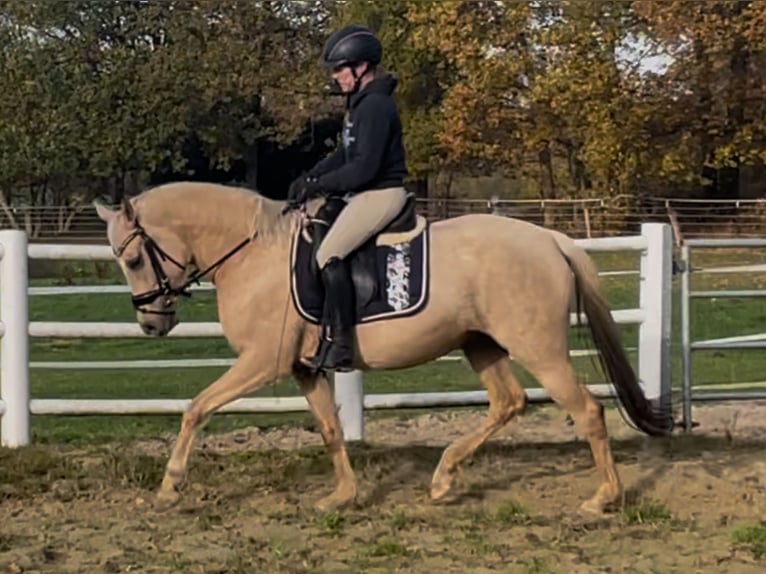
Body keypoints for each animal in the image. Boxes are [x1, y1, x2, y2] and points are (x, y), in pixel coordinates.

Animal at [94, 180, 673, 516]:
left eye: (134, 259)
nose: (152, 323)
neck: (252, 254)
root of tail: (549, 240)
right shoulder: (305, 369)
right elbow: (330, 429)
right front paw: (343, 497)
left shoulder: (263, 363)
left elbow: (195, 409)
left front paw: (170, 486)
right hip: (481, 345)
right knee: (508, 402)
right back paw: (443, 479)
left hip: (539, 348)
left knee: (587, 410)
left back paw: (603, 497)